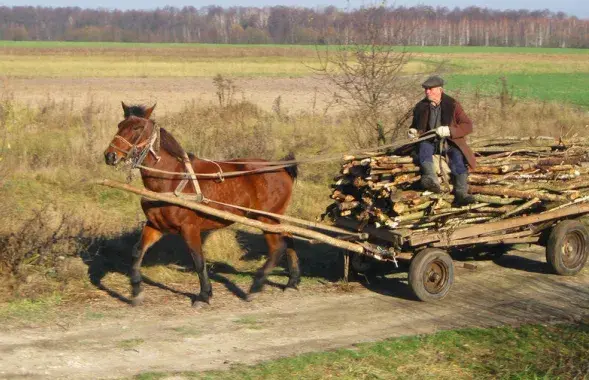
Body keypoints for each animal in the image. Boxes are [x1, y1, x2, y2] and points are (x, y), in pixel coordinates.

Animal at [102, 102, 298, 308]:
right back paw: (292, 281)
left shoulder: (190, 228)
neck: (173, 179)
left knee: (277, 248)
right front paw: (136, 291)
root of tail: (282, 167)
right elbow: (137, 252)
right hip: (272, 218)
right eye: (119, 125)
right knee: (289, 237)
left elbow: (198, 261)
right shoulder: (156, 226)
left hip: (266, 218)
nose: (110, 156)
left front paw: (204, 295)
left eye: (137, 128)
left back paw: (256, 286)